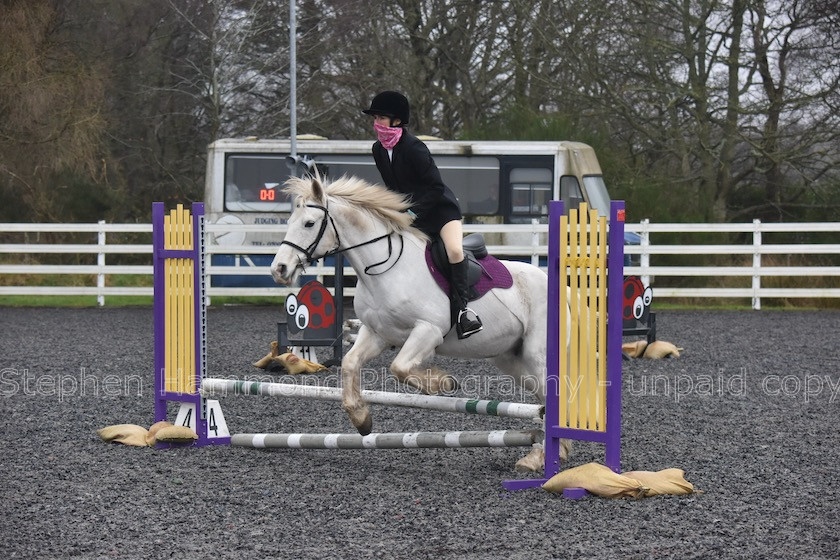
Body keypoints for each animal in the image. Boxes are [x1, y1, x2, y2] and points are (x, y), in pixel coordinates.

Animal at [272, 175, 568, 472]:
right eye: (289, 221)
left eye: (309, 223)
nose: (279, 269)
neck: (384, 270)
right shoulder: (377, 333)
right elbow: (350, 363)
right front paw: (361, 419)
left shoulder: (428, 331)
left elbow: (400, 367)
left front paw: (443, 383)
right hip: (512, 360)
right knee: (543, 399)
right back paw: (543, 454)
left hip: (536, 354)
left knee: (552, 394)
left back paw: (543, 456)